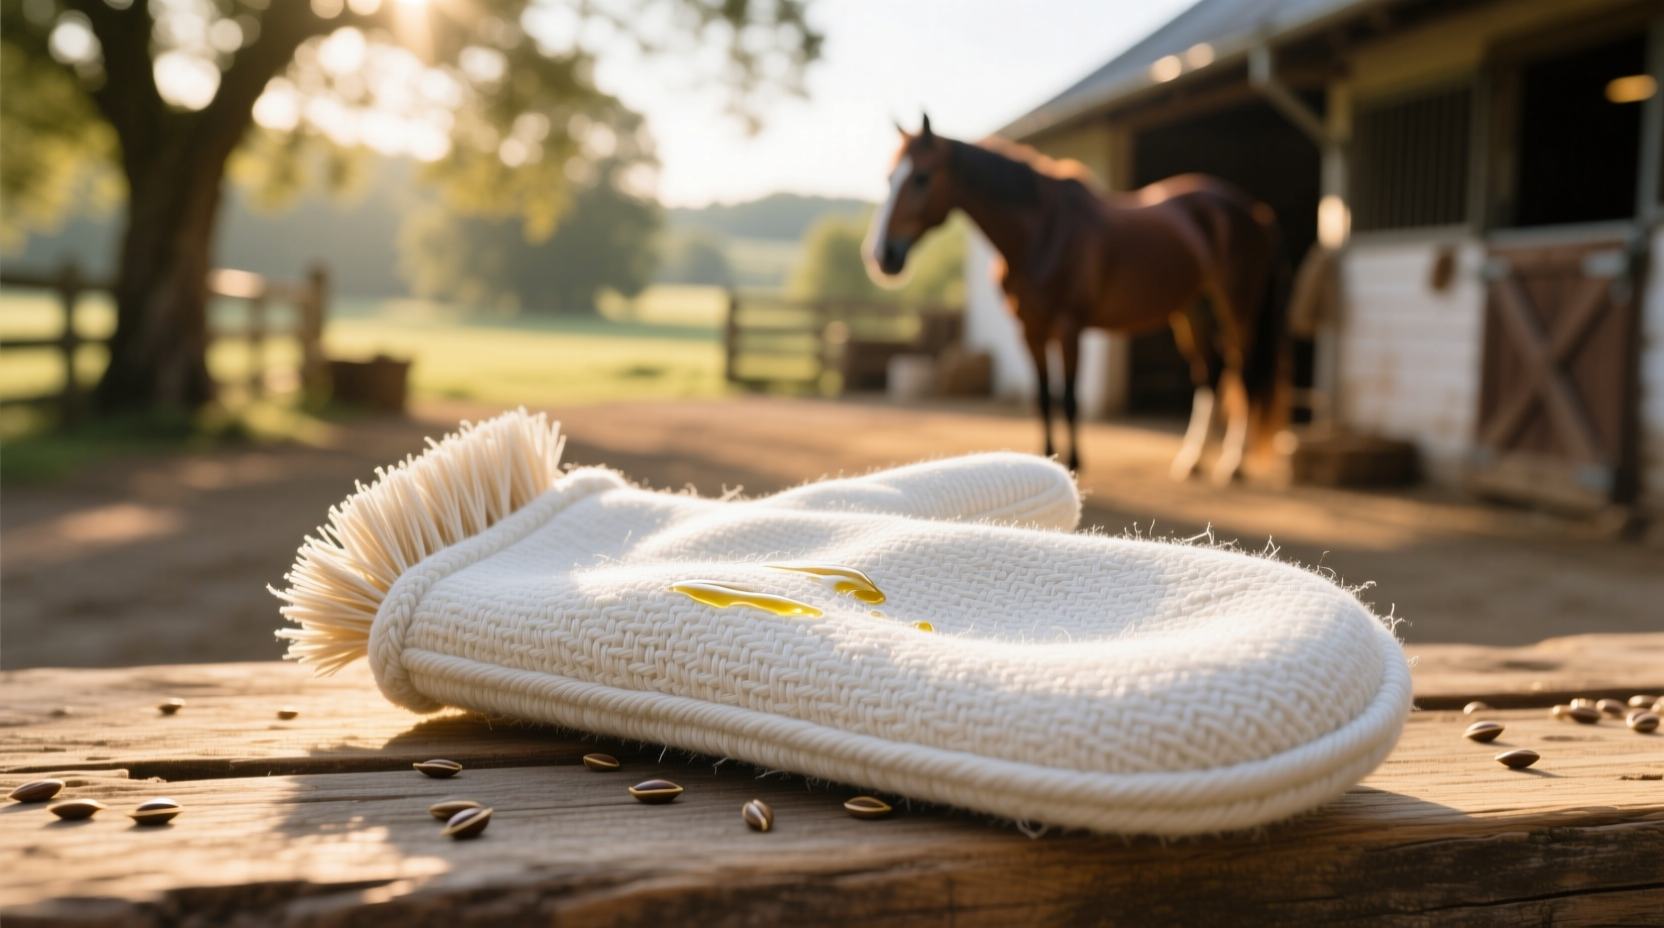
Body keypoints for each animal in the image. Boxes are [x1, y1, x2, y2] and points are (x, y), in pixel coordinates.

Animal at [867, 116, 1287, 482]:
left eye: (921, 177)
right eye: (889, 177)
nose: (882, 256)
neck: (1041, 233)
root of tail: (1255, 213)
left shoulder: (1069, 329)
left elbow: (1069, 398)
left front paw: (1071, 463)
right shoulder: (1031, 331)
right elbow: (1043, 397)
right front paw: (1045, 459)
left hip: (1237, 309)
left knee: (1243, 374)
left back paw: (1232, 465)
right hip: (1193, 311)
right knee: (1211, 376)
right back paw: (1193, 461)